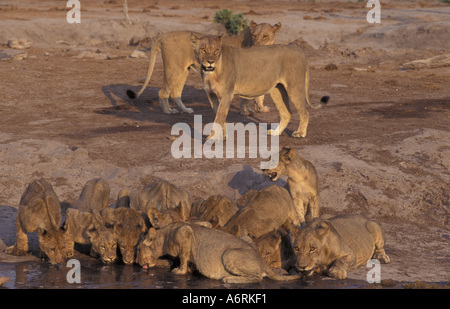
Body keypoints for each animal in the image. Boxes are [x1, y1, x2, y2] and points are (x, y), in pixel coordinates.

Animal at [126, 21, 282, 114]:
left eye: (265, 36)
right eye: (254, 35)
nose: (257, 45)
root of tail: (165, 34)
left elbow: (256, 95)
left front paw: (258, 108)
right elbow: (248, 98)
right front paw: (247, 112)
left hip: (184, 70)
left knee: (176, 92)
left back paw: (186, 110)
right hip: (174, 69)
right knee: (163, 92)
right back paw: (169, 111)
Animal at [135, 221, 300, 284]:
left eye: (138, 249)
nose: (137, 262)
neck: (163, 237)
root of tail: (261, 260)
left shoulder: (185, 232)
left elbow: (183, 256)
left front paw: (180, 271)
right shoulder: (199, 224)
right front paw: (190, 268)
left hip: (229, 254)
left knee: (258, 277)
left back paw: (228, 279)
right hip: (246, 238)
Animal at [188, 33, 328, 138]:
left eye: (216, 50)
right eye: (203, 50)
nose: (210, 61)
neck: (210, 71)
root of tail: (299, 50)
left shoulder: (227, 94)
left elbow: (219, 116)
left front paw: (211, 139)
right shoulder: (212, 95)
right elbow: (218, 116)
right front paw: (221, 137)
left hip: (294, 87)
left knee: (304, 112)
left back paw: (300, 133)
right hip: (277, 90)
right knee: (286, 113)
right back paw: (276, 132)